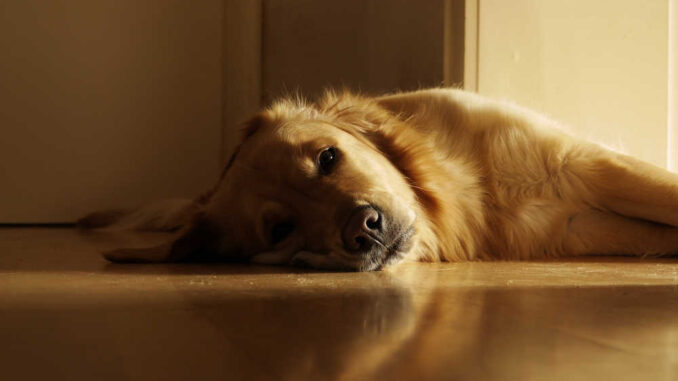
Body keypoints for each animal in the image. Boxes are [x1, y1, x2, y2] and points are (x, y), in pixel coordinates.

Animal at [81, 87, 678, 270]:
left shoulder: (582, 164)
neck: (475, 192)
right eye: (280, 230)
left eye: (327, 158)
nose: (363, 229)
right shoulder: (576, 225)